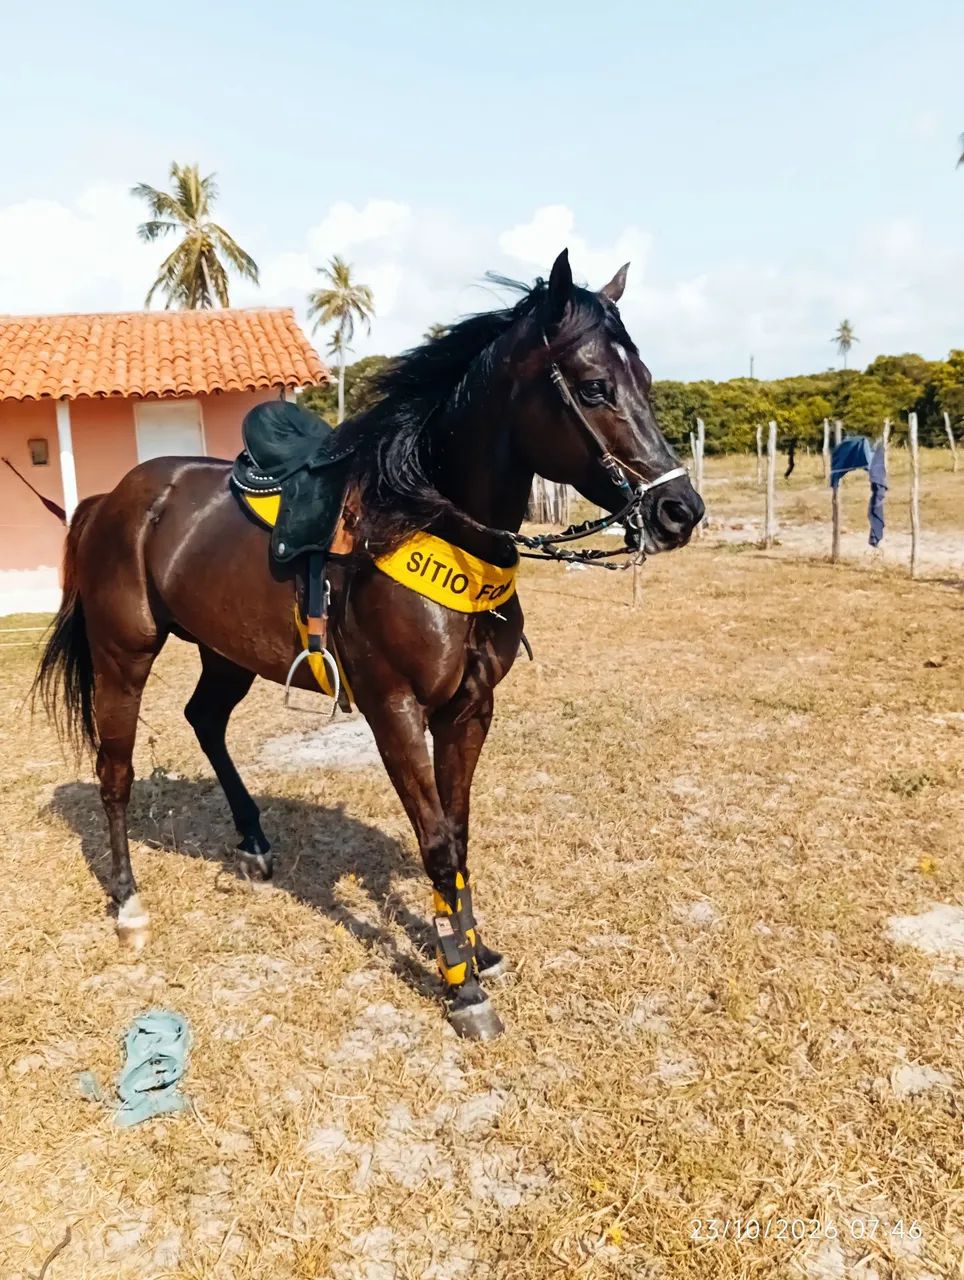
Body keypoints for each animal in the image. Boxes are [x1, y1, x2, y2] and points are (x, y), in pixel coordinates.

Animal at [35, 249, 704, 1039]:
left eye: (648, 383)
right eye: (596, 387)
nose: (680, 510)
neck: (426, 519)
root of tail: (111, 499)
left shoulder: (469, 709)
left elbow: (458, 833)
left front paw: (475, 951)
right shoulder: (395, 709)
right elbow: (436, 841)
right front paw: (462, 987)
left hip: (225, 653)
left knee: (205, 721)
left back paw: (254, 844)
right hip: (124, 657)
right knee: (115, 771)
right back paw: (129, 902)